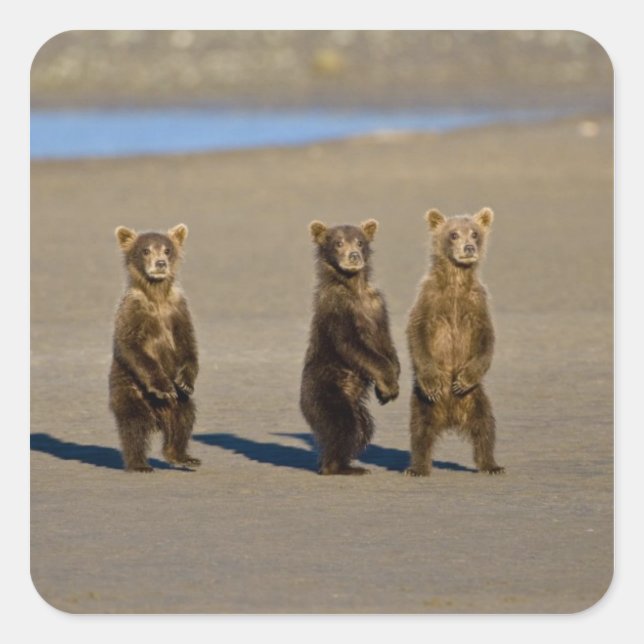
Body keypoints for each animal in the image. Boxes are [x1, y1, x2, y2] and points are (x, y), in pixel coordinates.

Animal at [109, 223, 200, 472]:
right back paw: (139, 463)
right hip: (130, 390)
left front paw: (185, 381)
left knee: (184, 418)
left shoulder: (178, 309)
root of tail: (158, 415)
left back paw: (183, 456)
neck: (156, 295)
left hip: (180, 405)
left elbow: (188, 344)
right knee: (134, 426)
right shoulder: (133, 311)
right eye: (145, 250)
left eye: (167, 250)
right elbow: (131, 346)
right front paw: (164, 387)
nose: (160, 263)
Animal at [300, 219, 400, 475]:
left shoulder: (376, 305)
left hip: (354, 404)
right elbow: (354, 346)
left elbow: (386, 343)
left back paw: (348, 462)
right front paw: (388, 384)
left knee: (363, 427)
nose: (354, 256)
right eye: (338, 243)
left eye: (360, 241)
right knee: (342, 426)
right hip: (325, 391)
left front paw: (388, 388)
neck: (354, 287)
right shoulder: (338, 309)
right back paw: (337, 466)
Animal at [405, 207, 504, 476]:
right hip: (422, 404)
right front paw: (432, 381)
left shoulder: (477, 304)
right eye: (453, 234)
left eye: (475, 233)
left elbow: (487, 339)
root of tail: (450, 418)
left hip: (477, 399)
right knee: (420, 431)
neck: (456, 281)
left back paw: (491, 465)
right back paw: (417, 467)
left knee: (485, 428)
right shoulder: (429, 300)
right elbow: (416, 332)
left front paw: (462, 380)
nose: (469, 247)